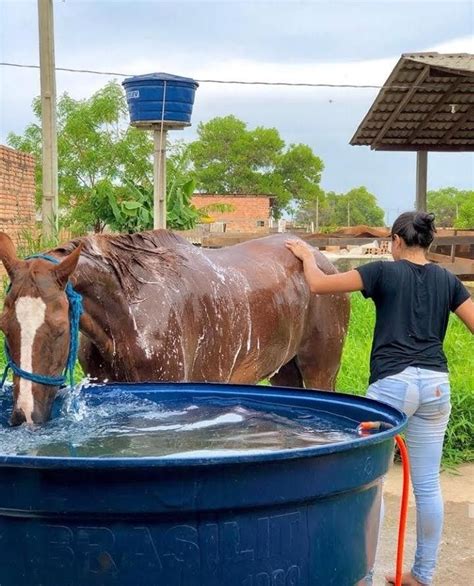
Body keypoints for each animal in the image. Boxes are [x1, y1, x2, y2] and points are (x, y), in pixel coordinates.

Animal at [0, 229, 348, 424]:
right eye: (5, 328)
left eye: (60, 328)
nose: (24, 415)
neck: (131, 312)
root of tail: (318, 258)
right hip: (284, 371)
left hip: (320, 371)